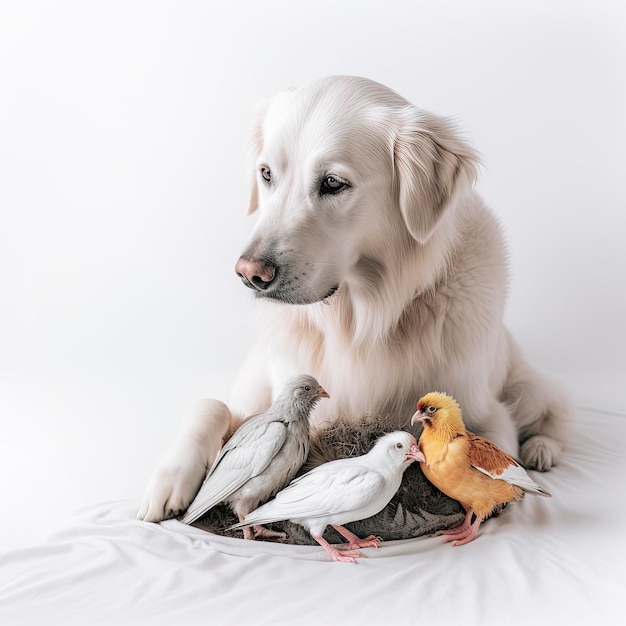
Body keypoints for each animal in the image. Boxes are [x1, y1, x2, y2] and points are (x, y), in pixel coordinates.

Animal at [139, 73, 568, 520]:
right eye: (266, 173)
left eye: (333, 182)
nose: (249, 274)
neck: (359, 317)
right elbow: (211, 404)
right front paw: (170, 480)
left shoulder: (484, 410)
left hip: (527, 385)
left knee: (554, 412)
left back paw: (542, 449)